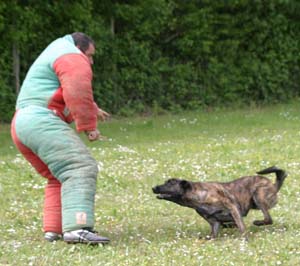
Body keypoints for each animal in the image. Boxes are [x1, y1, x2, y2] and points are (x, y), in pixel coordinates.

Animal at [154, 166, 288, 239]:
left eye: (170, 183)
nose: (154, 187)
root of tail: (274, 185)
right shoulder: (214, 222)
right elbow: (214, 233)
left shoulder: (233, 208)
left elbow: (241, 226)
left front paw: (245, 237)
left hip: (258, 196)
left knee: (268, 219)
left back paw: (258, 222)